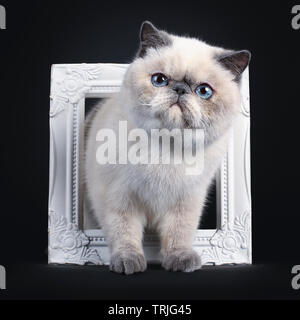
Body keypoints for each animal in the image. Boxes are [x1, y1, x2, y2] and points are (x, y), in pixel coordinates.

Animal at [85, 21, 251, 274]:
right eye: (160, 80)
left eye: (204, 91)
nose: (180, 89)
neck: (167, 148)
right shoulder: (119, 198)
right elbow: (124, 233)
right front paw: (128, 262)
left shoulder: (187, 201)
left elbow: (179, 233)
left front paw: (180, 260)